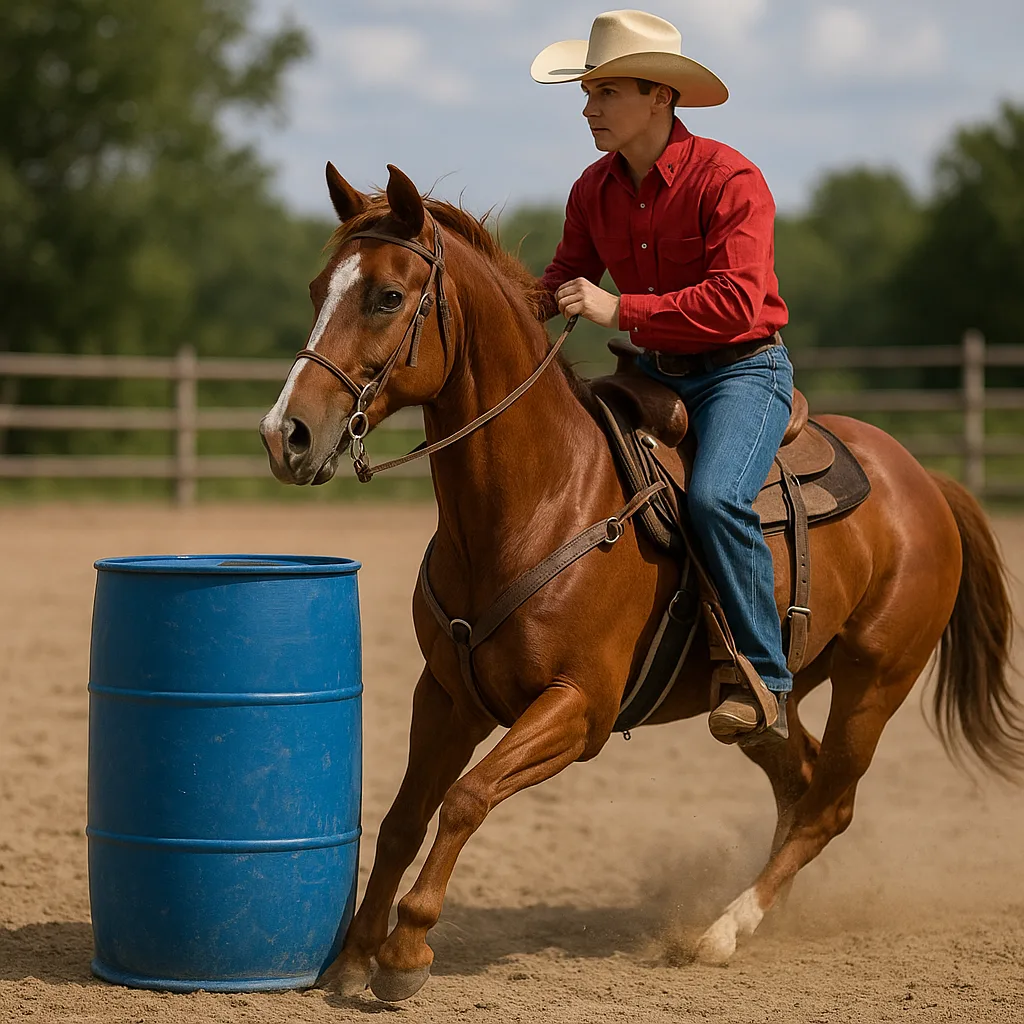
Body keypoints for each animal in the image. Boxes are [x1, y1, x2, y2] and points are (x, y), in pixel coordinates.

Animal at [259, 163, 1023, 1003]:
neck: (539, 500)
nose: (284, 434)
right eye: (317, 288)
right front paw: (354, 955)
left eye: (388, 297)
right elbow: (401, 818)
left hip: (875, 681)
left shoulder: (577, 709)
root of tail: (926, 481)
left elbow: (465, 799)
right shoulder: (447, 696)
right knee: (800, 781)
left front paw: (406, 952)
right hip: (767, 703)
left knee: (832, 804)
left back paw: (724, 930)